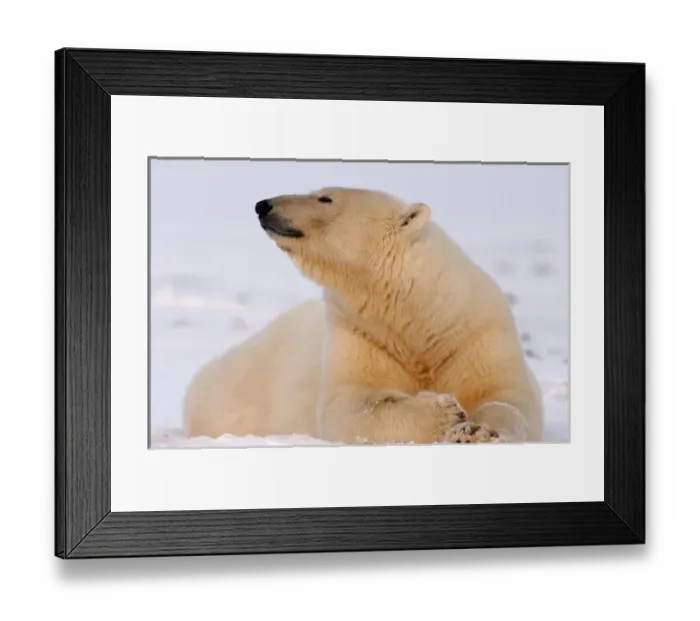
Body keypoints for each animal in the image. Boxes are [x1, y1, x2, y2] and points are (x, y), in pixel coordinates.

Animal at [183, 187, 543, 445]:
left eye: (325, 197)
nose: (263, 205)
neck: (423, 318)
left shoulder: (476, 335)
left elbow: (508, 398)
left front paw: (477, 430)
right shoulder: (360, 335)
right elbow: (350, 408)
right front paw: (446, 413)